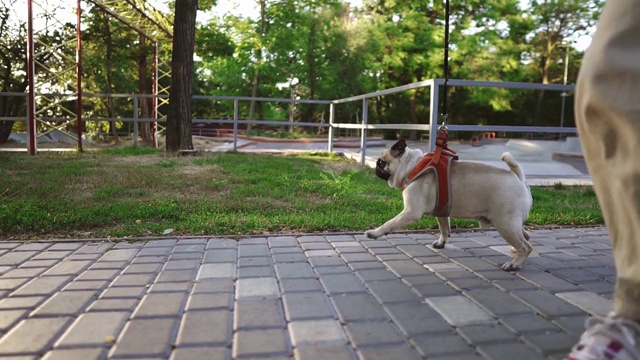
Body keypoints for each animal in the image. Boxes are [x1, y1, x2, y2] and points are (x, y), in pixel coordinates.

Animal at [368, 139, 532, 270]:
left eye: (381, 162)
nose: (376, 166)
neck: (411, 167)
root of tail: (517, 177)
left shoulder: (410, 212)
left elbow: (389, 223)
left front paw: (375, 232)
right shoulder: (441, 211)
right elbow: (444, 228)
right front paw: (442, 242)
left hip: (505, 223)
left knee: (526, 247)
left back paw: (514, 263)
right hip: (511, 222)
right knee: (525, 235)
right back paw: (515, 250)